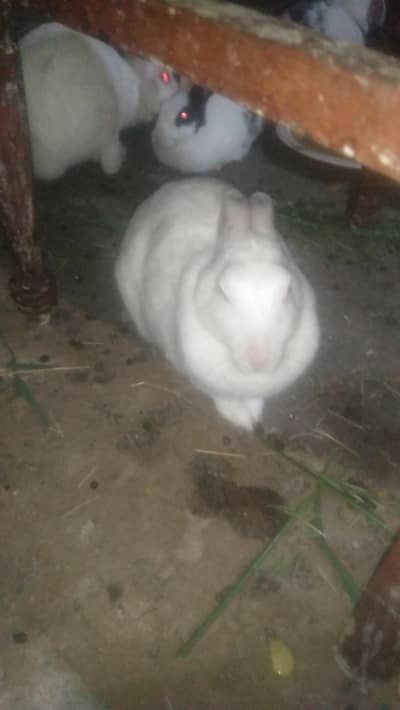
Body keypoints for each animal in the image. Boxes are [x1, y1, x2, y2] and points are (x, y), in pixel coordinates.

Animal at [20, 22, 180, 180]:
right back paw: (120, 156)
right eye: (165, 77)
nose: (178, 81)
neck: (139, 86)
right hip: (108, 124)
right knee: (109, 162)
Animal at [115, 178, 320, 430]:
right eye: (223, 292)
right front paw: (243, 419)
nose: (259, 359)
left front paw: (254, 412)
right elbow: (223, 397)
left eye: (287, 290)